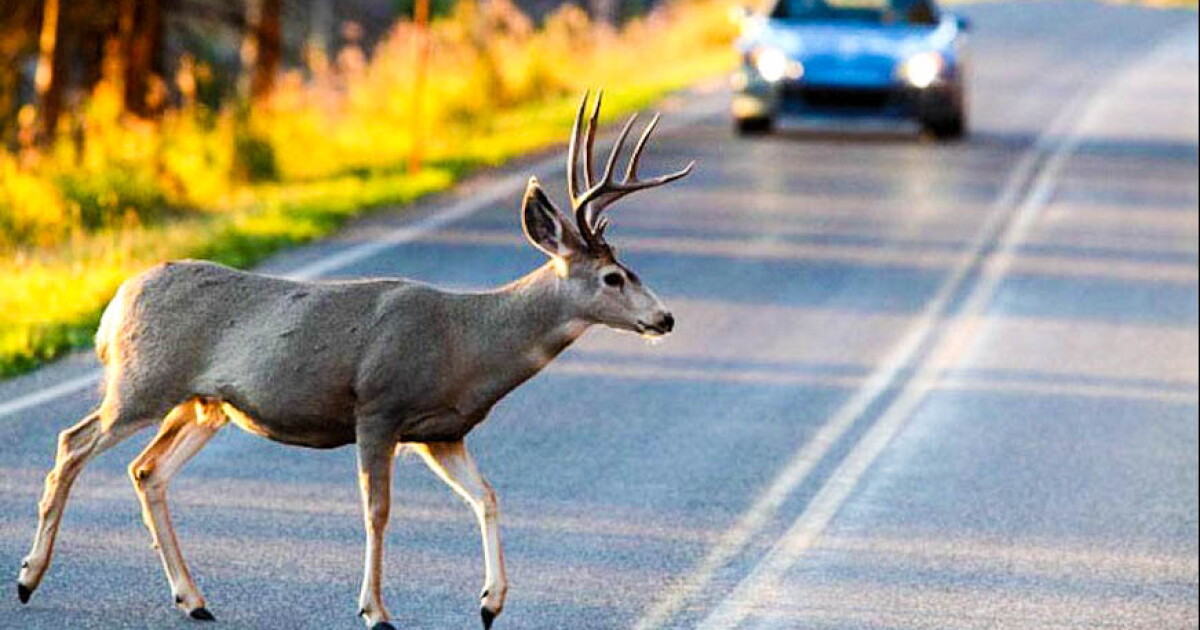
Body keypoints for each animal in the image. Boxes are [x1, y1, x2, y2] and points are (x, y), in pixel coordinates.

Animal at [15, 91, 692, 629]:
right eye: (612, 277)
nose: (664, 318)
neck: (468, 343)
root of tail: (114, 307)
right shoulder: (379, 406)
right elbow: (377, 512)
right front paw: (375, 610)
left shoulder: (441, 431)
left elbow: (488, 496)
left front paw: (491, 603)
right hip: (143, 381)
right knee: (72, 443)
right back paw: (28, 579)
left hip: (204, 404)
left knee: (147, 471)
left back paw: (194, 599)